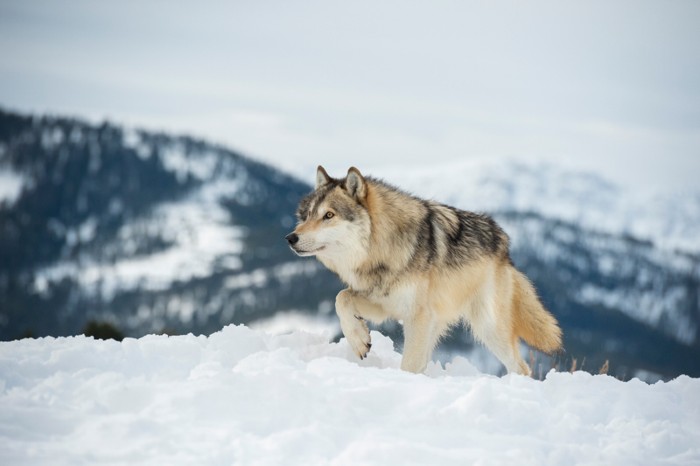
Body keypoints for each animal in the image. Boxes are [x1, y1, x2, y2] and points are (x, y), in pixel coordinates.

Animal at [284, 166, 564, 374]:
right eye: (307, 216)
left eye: (329, 215)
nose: (290, 238)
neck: (383, 249)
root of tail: (504, 244)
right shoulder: (385, 305)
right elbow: (341, 298)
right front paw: (359, 340)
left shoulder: (416, 316)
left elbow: (408, 365)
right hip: (438, 325)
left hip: (487, 327)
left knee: (521, 367)